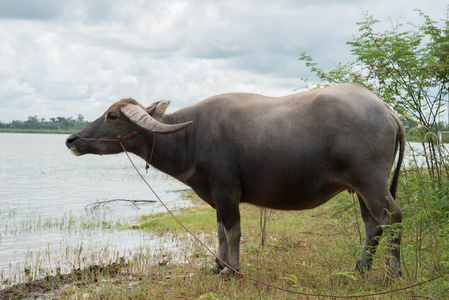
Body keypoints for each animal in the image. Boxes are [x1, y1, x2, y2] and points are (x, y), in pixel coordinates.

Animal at [67, 83, 406, 278]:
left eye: (112, 116)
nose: (72, 139)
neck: (191, 137)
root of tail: (387, 111)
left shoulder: (227, 193)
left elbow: (233, 233)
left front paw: (232, 270)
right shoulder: (216, 198)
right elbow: (218, 231)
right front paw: (217, 265)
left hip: (371, 183)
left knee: (393, 218)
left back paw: (393, 273)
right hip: (360, 188)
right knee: (373, 225)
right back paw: (360, 268)